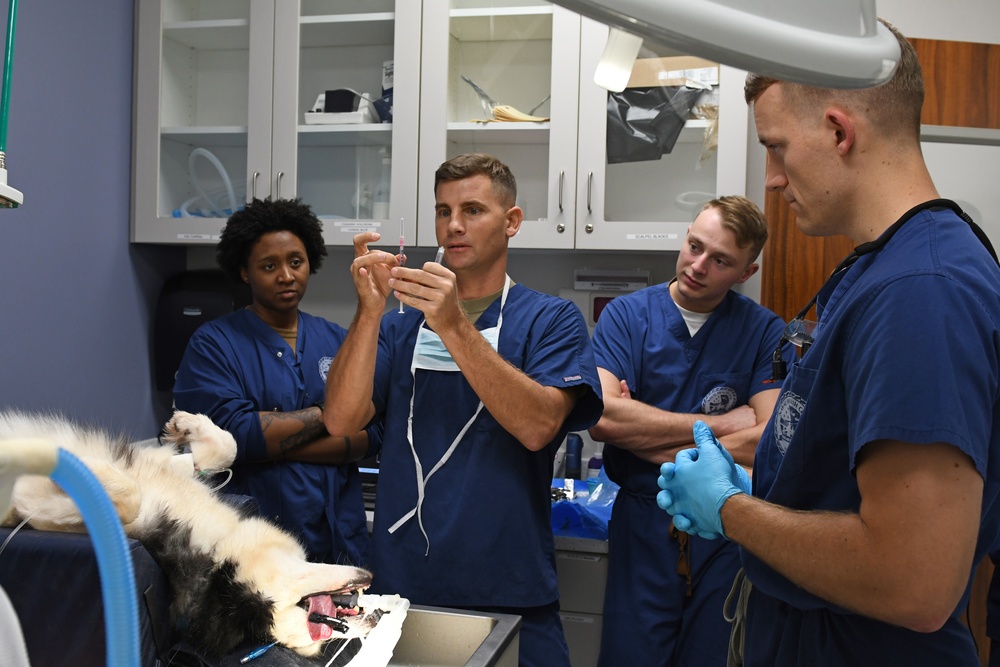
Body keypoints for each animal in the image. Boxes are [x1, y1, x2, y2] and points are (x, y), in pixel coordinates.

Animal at [0, 410, 374, 660]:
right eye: (314, 620)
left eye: (320, 636)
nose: (370, 621)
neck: (217, 549)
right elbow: (224, 447)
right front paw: (185, 425)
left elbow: (132, 495)